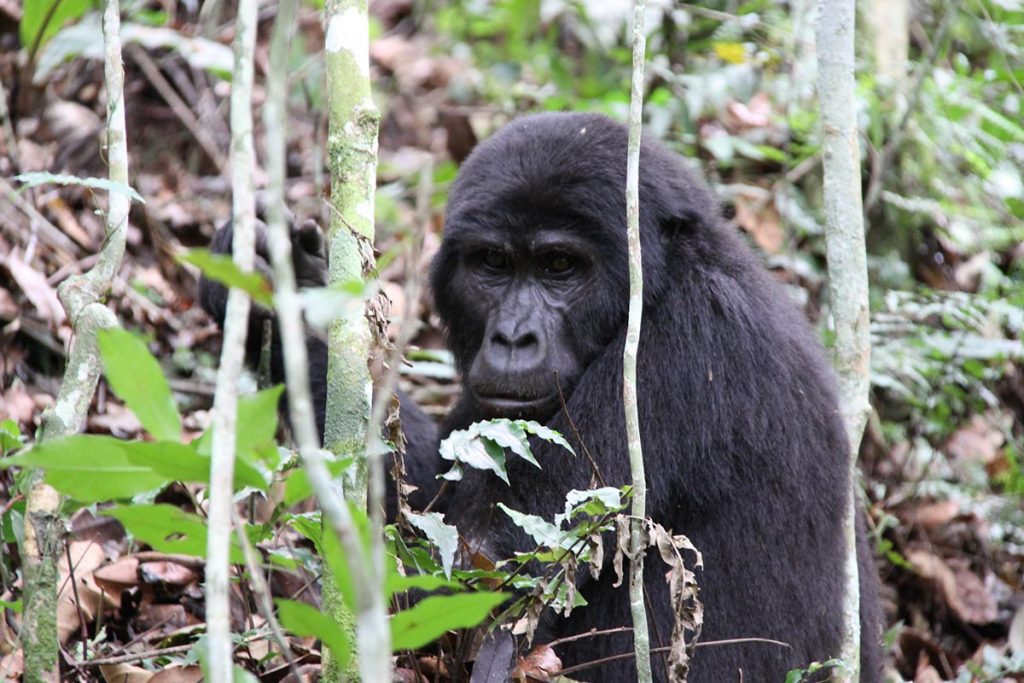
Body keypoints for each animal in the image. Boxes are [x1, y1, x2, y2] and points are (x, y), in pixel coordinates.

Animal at [199, 113, 880, 683]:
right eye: (493, 263)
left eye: (559, 266)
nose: (513, 336)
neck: (659, 288)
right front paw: (279, 280)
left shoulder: (680, 360)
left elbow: (476, 586)